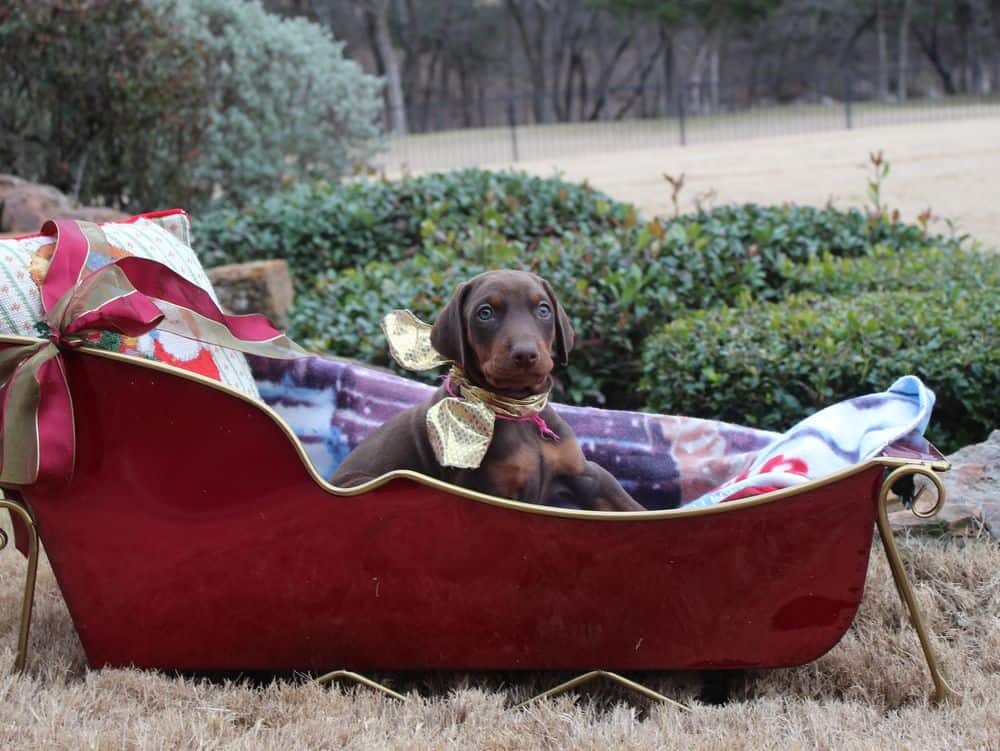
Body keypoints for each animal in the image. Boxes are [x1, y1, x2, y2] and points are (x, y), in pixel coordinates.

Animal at [332, 268, 644, 512]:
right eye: (485, 313)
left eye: (543, 309)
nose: (525, 354)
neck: (517, 411)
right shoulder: (488, 489)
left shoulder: (586, 474)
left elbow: (629, 505)